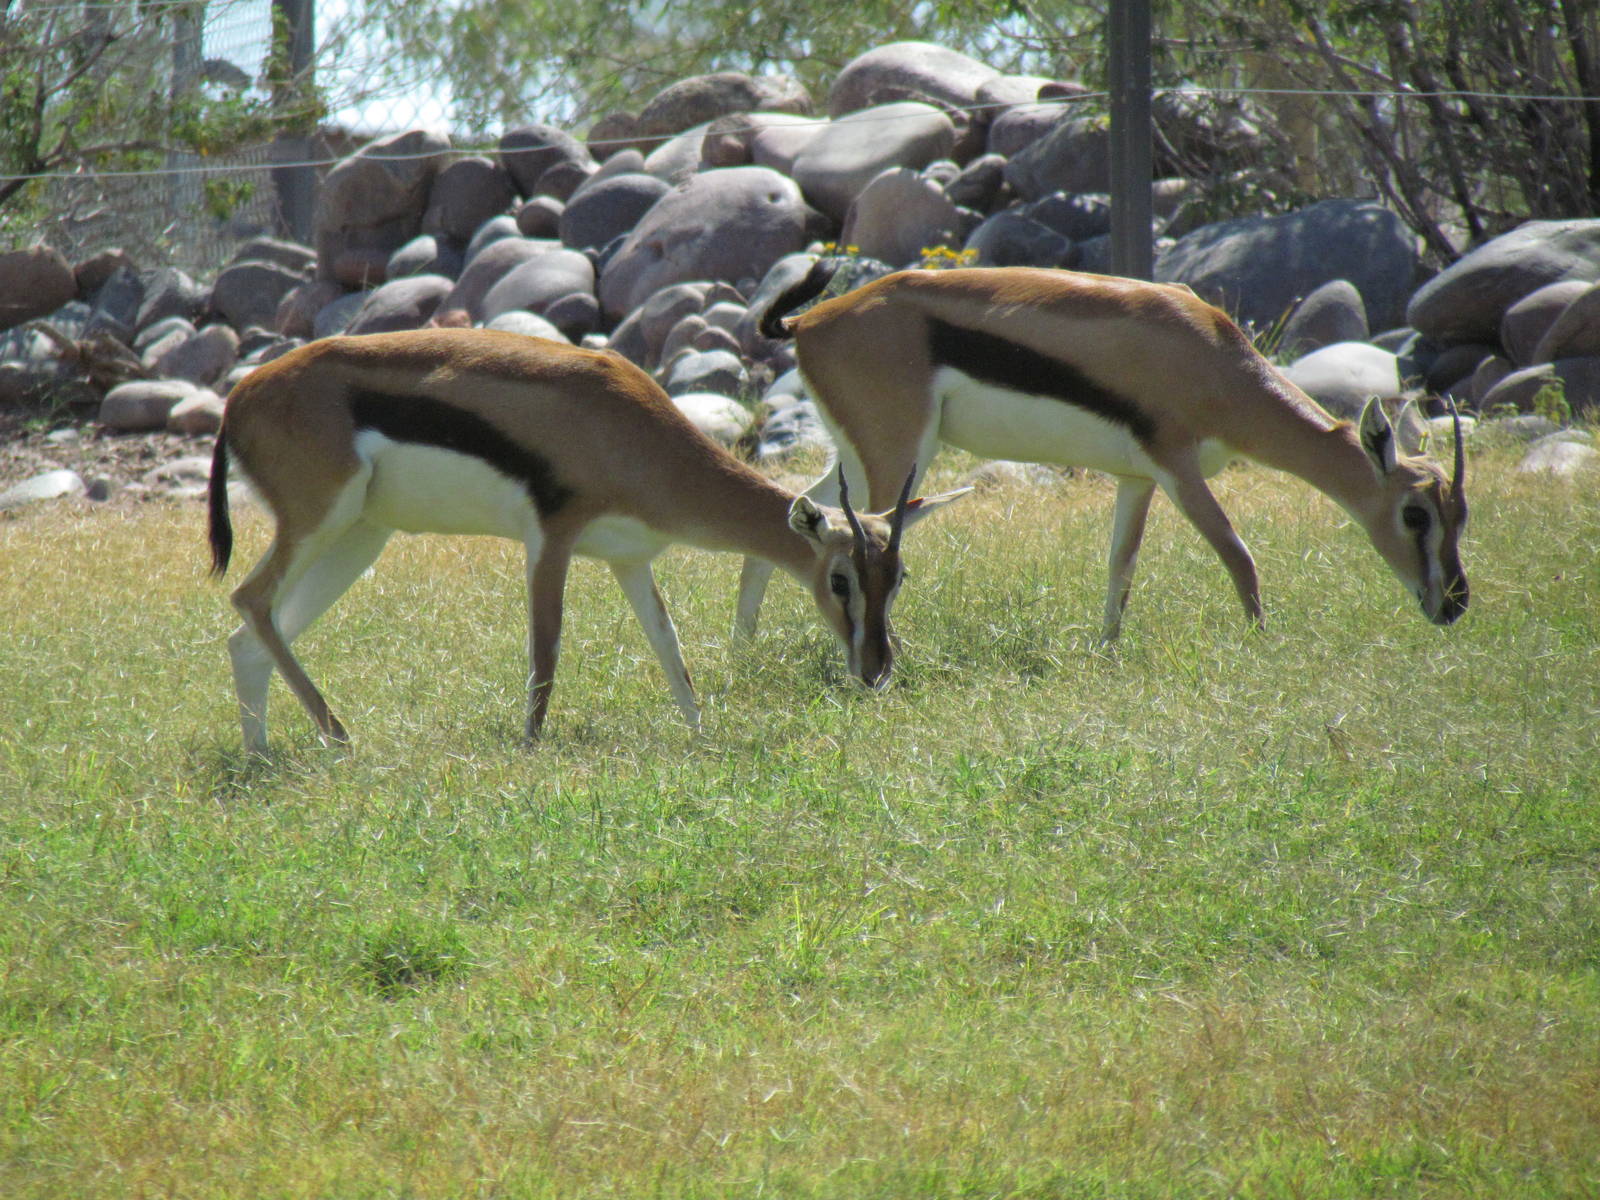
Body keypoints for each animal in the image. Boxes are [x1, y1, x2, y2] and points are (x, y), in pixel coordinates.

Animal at [205, 328, 964, 753]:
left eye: (898, 579)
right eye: (840, 578)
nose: (876, 669)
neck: (627, 431)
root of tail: (239, 399)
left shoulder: (629, 560)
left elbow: (672, 654)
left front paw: (703, 739)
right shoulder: (552, 540)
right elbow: (547, 653)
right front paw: (531, 752)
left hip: (360, 538)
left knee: (250, 634)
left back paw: (263, 759)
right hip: (321, 521)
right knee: (250, 599)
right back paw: (341, 738)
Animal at [737, 262, 1468, 642]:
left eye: (1462, 515)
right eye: (1415, 514)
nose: (1454, 604)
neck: (1212, 359)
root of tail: (809, 320)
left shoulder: (1136, 479)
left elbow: (1122, 566)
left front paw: (1107, 649)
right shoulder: (1178, 471)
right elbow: (1239, 555)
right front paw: (1265, 644)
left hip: (860, 461)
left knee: (795, 515)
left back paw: (745, 651)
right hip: (895, 457)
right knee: (861, 540)